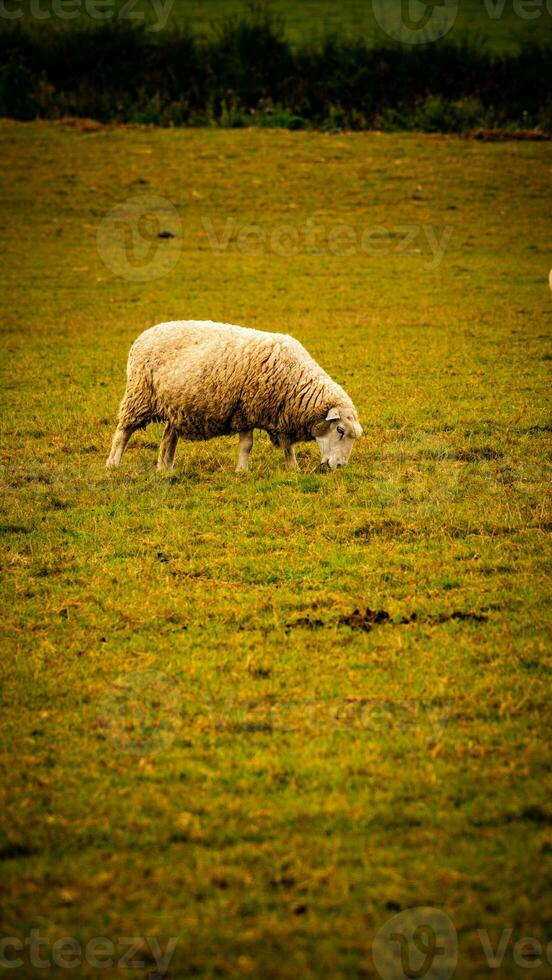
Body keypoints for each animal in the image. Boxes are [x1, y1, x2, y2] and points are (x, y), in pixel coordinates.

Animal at [106, 320, 364, 472]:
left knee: (168, 437)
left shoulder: (280, 414)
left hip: (176, 406)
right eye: (340, 430)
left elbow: (287, 446)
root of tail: (144, 334)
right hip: (139, 395)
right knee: (123, 433)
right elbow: (247, 445)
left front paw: (293, 468)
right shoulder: (246, 409)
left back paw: (165, 469)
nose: (340, 465)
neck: (296, 380)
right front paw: (242, 470)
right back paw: (112, 465)